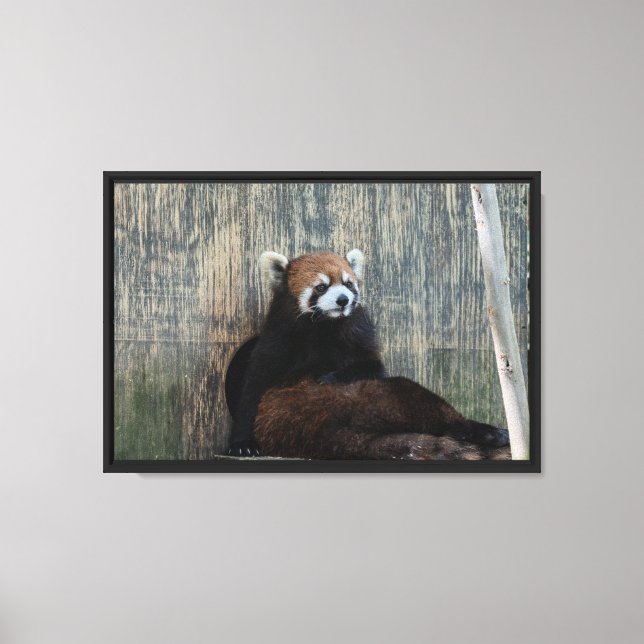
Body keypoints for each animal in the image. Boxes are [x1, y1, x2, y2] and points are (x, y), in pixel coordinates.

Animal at [227, 249, 510, 460]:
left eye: (348, 283)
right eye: (321, 287)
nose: (343, 299)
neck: (324, 326)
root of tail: (325, 430)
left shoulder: (358, 331)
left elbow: (372, 365)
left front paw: (330, 376)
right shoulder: (277, 336)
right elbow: (255, 384)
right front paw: (242, 441)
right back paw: (490, 432)